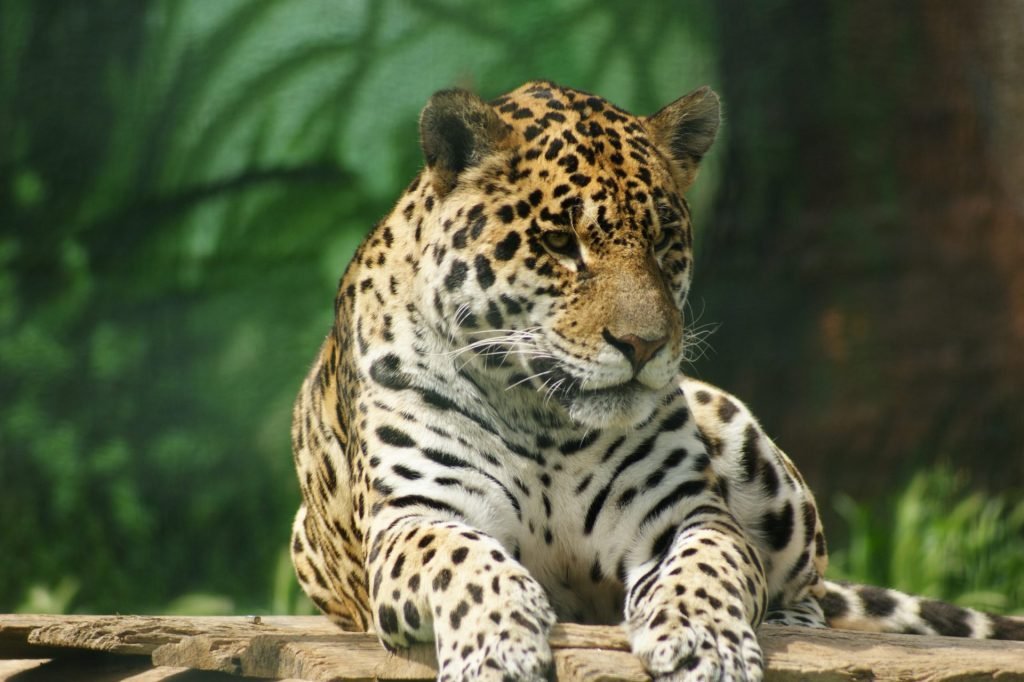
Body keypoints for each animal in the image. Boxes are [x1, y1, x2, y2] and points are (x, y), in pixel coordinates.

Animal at [289, 80, 1024, 681]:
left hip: (740, 433)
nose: (643, 345)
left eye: (664, 240)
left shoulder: (683, 514)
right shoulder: (417, 515)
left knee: (808, 589)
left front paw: (707, 643)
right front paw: (499, 647)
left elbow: (707, 567)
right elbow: (464, 563)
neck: (543, 418)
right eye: (560, 244)